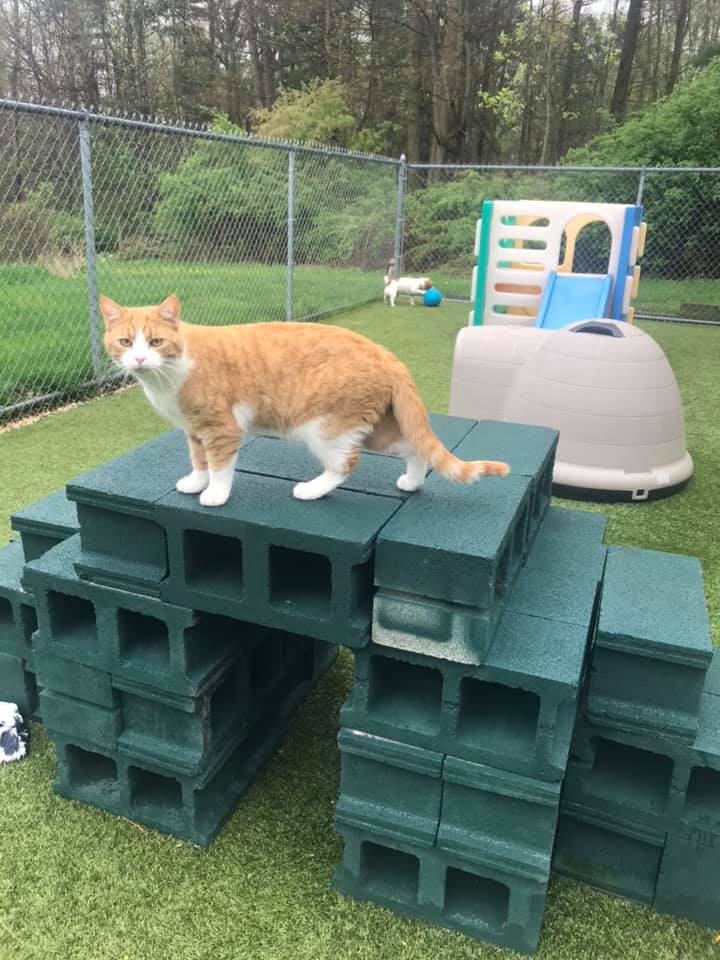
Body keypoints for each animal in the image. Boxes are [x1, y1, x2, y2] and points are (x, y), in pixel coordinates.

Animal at [100, 293, 510, 507]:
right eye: (125, 342)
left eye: (155, 342)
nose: (139, 359)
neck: (168, 377)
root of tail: (385, 353)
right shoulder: (194, 431)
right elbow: (199, 462)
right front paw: (196, 482)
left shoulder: (220, 430)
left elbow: (219, 467)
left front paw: (214, 493)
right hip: (377, 428)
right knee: (415, 449)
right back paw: (411, 483)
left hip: (326, 430)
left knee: (346, 464)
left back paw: (311, 490)